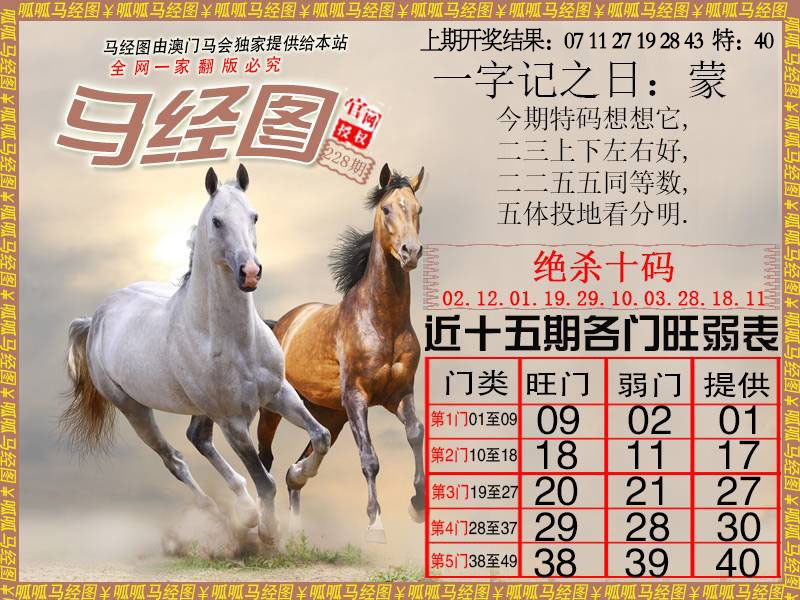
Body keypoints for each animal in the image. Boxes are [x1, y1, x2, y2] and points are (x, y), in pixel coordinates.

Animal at [63, 165, 331, 543]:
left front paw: (298, 474)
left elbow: (320, 437)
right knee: (174, 459)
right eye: (217, 221)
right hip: (134, 409)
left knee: (197, 438)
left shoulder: (278, 393)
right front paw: (268, 531)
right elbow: (265, 480)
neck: (235, 341)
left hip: (200, 409)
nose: (250, 272)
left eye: (254, 216)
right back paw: (225, 515)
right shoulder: (233, 421)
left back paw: (243, 509)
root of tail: (96, 317)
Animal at [256, 163, 425, 543]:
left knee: (298, 465)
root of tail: (280, 324)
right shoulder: (357, 397)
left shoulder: (399, 395)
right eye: (386, 209)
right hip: (275, 409)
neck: (382, 321)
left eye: (418, 209)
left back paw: (297, 509)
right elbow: (370, 458)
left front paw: (417, 505)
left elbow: (415, 434)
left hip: (329, 414)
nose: (410, 252)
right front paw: (376, 524)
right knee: (265, 458)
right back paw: (264, 524)